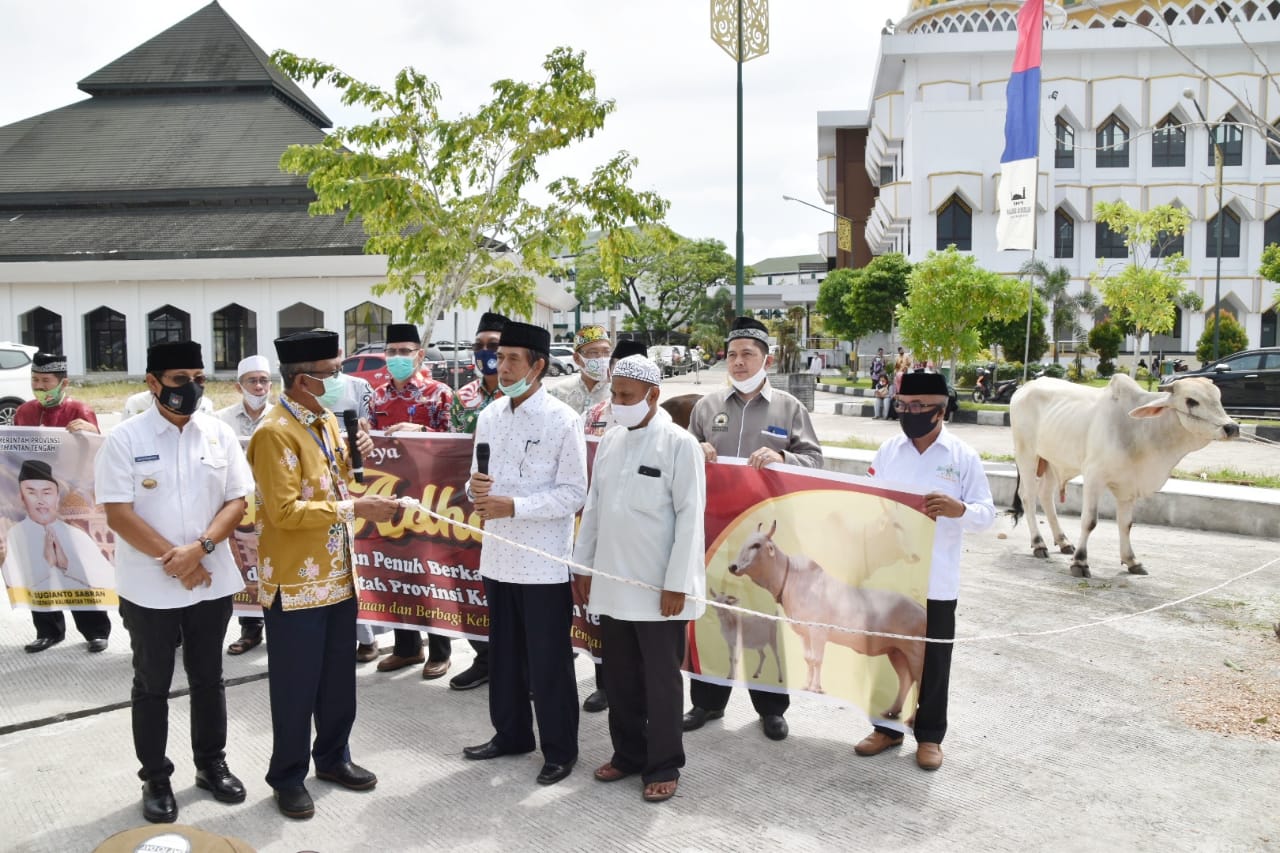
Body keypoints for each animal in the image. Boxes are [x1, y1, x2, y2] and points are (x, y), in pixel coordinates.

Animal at [1008, 373, 1239, 578]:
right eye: (1191, 401)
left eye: (1218, 398)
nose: (1232, 427)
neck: (1140, 431)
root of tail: (1025, 387)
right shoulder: (1093, 477)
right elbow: (1089, 521)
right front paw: (1080, 562)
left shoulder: (1129, 486)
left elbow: (1126, 525)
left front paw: (1132, 561)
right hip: (1027, 455)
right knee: (1028, 497)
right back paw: (1038, 543)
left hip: (1052, 461)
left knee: (1046, 496)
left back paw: (1063, 541)